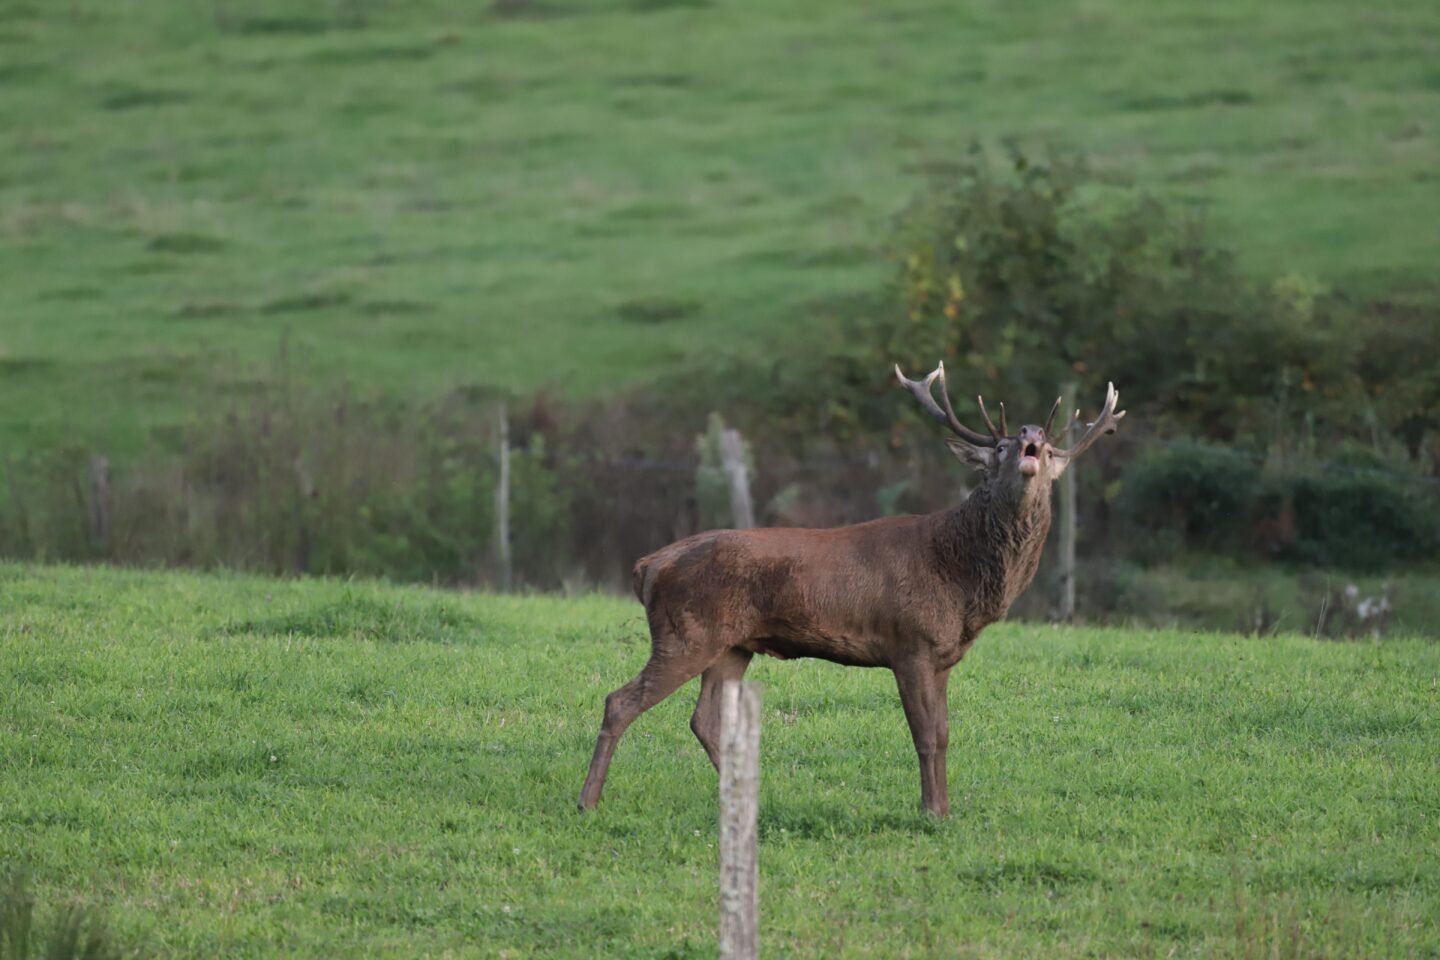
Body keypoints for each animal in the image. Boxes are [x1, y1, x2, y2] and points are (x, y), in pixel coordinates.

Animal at [578, 362, 1125, 816]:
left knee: (706, 720)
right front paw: (930, 812)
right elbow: (925, 734)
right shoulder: (910, 642)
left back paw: (753, 799)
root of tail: (647, 566)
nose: (1031, 433)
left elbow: (945, 733)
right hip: (686, 633)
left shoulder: (943, 655)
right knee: (620, 701)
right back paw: (588, 802)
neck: (960, 580)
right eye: (1001, 448)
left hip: (732, 645)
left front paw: (945, 809)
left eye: (1048, 449)